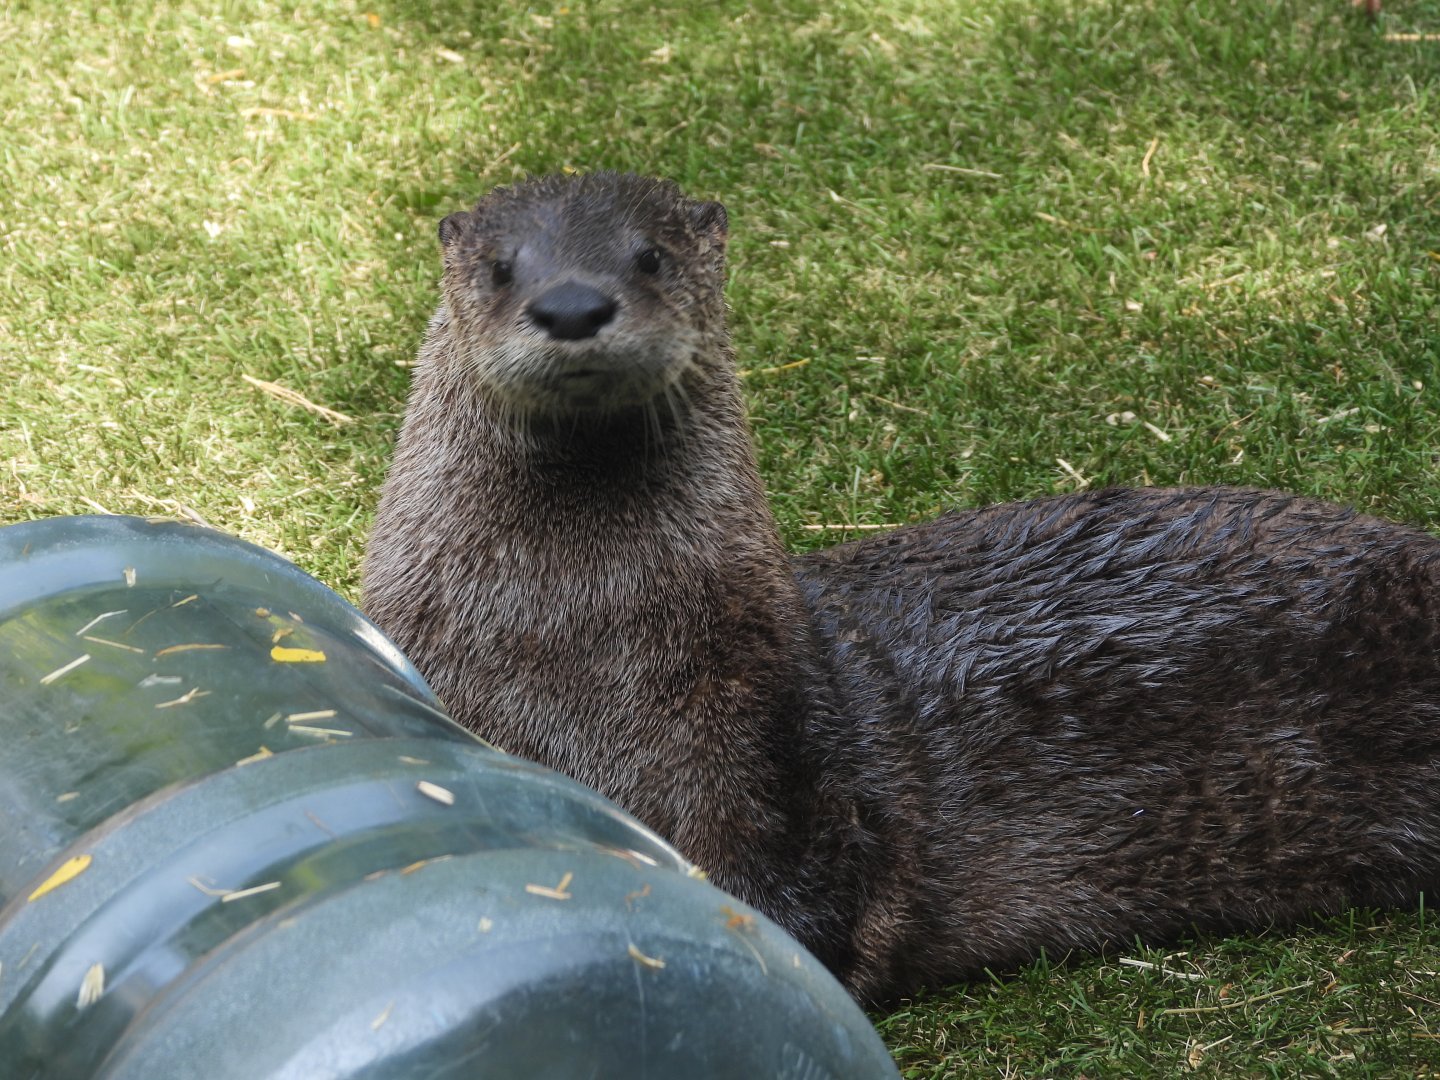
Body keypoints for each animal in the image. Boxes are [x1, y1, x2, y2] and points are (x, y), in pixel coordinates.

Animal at [362, 171, 1440, 1004]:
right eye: (502, 266)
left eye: (651, 257)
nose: (573, 306)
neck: (571, 649)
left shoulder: (765, 740)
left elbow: (802, 900)